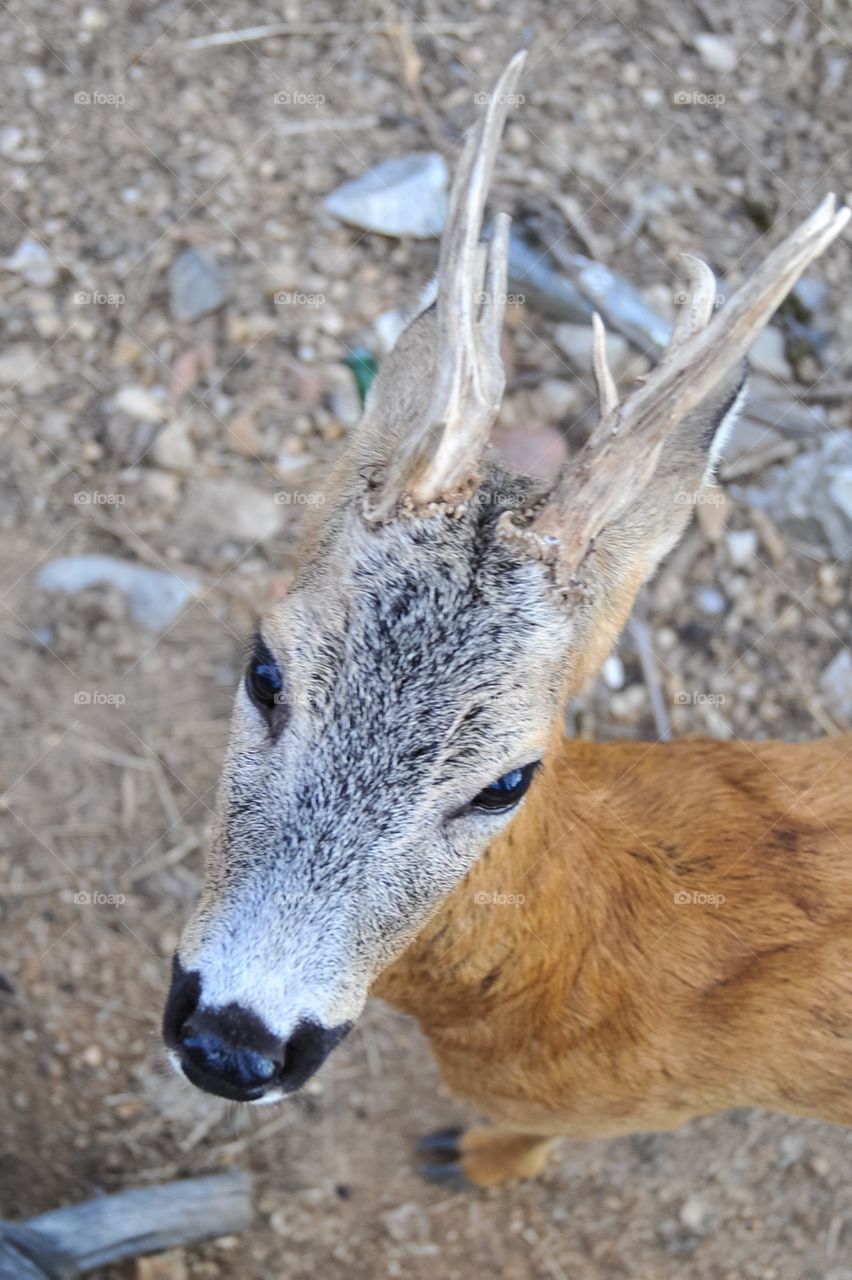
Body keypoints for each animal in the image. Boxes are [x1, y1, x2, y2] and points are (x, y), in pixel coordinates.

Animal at [163, 52, 852, 1189]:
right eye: (264, 672)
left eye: (508, 781)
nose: (233, 1041)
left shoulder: (642, 1103)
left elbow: (534, 1143)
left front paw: (475, 1158)